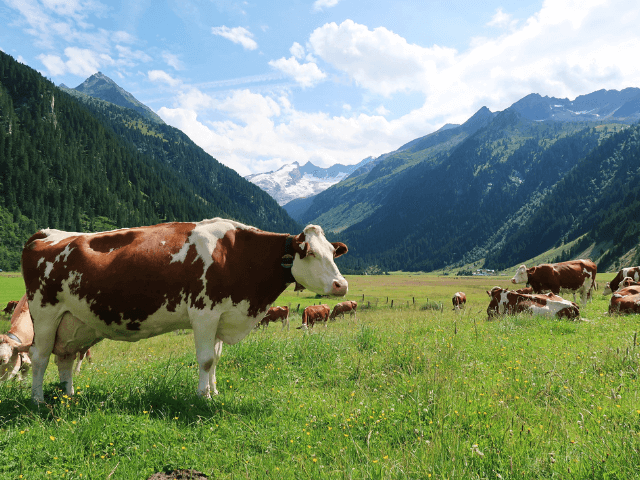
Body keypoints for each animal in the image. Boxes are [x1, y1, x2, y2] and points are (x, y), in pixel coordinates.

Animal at [21, 219, 350, 404]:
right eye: (310, 253)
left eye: (333, 253)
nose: (341, 285)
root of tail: (47, 233)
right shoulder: (204, 313)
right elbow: (205, 360)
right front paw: (203, 397)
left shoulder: (221, 316)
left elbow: (216, 358)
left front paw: (215, 392)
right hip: (45, 312)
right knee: (39, 357)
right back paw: (38, 400)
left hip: (71, 321)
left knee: (64, 357)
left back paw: (68, 396)